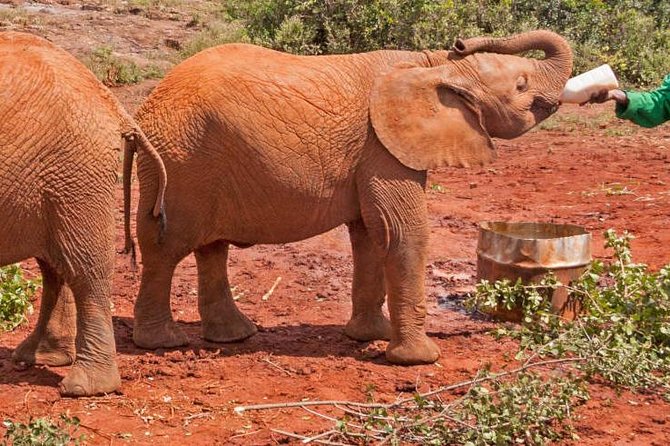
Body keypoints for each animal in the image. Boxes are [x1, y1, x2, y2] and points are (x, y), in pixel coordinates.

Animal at [0, 32, 166, 396]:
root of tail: (113, 104)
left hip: (76, 171)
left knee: (85, 269)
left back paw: (84, 387)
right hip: (56, 178)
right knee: (54, 266)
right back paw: (40, 357)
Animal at [126, 30, 572, 365]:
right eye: (521, 85)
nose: (461, 42)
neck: (433, 66)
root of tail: (143, 111)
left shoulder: (376, 152)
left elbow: (371, 235)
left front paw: (369, 336)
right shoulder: (383, 147)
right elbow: (403, 232)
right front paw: (419, 360)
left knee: (211, 248)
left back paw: (235, 336)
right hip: (181, 161)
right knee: (165, 249)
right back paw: (164, 343)